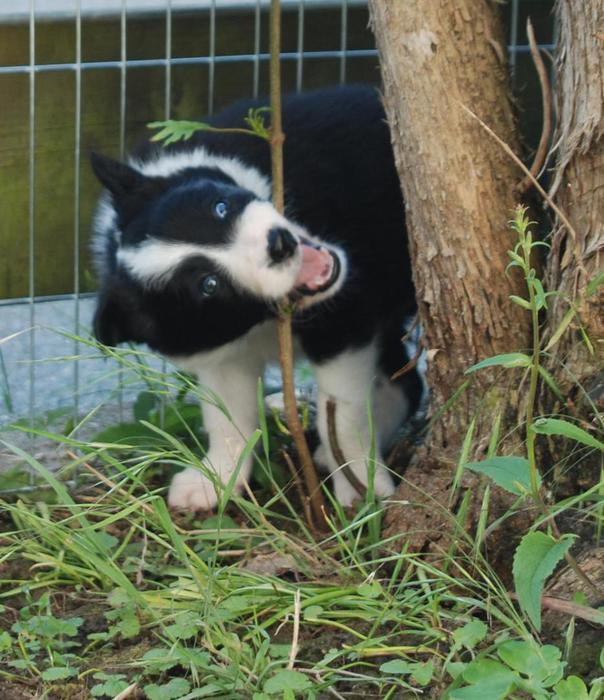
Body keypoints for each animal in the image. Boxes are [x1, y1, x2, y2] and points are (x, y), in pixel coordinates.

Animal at [91, 85, 422, 511]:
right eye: (209, 285)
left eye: (220, 207)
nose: (278, 244)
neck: (261, 321)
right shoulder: (217, 351)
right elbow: (227, 415)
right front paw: (215, 479)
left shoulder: (344, 321)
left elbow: (343, 413)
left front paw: (359, 486)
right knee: (407, 384)